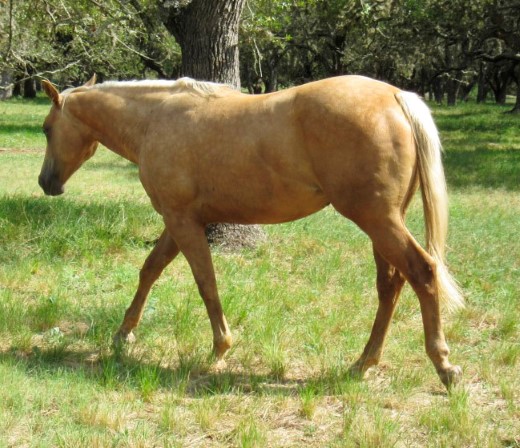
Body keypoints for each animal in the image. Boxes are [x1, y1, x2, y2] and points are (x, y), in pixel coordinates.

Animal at [39, 74, 464, 388]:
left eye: (45, 129)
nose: (46, 183)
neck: (155, 120)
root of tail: (394, 96)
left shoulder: (182, 222)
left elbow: (205, 282)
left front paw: (220, 348)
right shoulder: (178, 222)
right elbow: (150, 271)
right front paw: (123, 334)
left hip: (378, 220)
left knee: (422, 272)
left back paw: (443, 366)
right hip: (382, 223)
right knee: (391, 285)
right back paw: (363, 363)